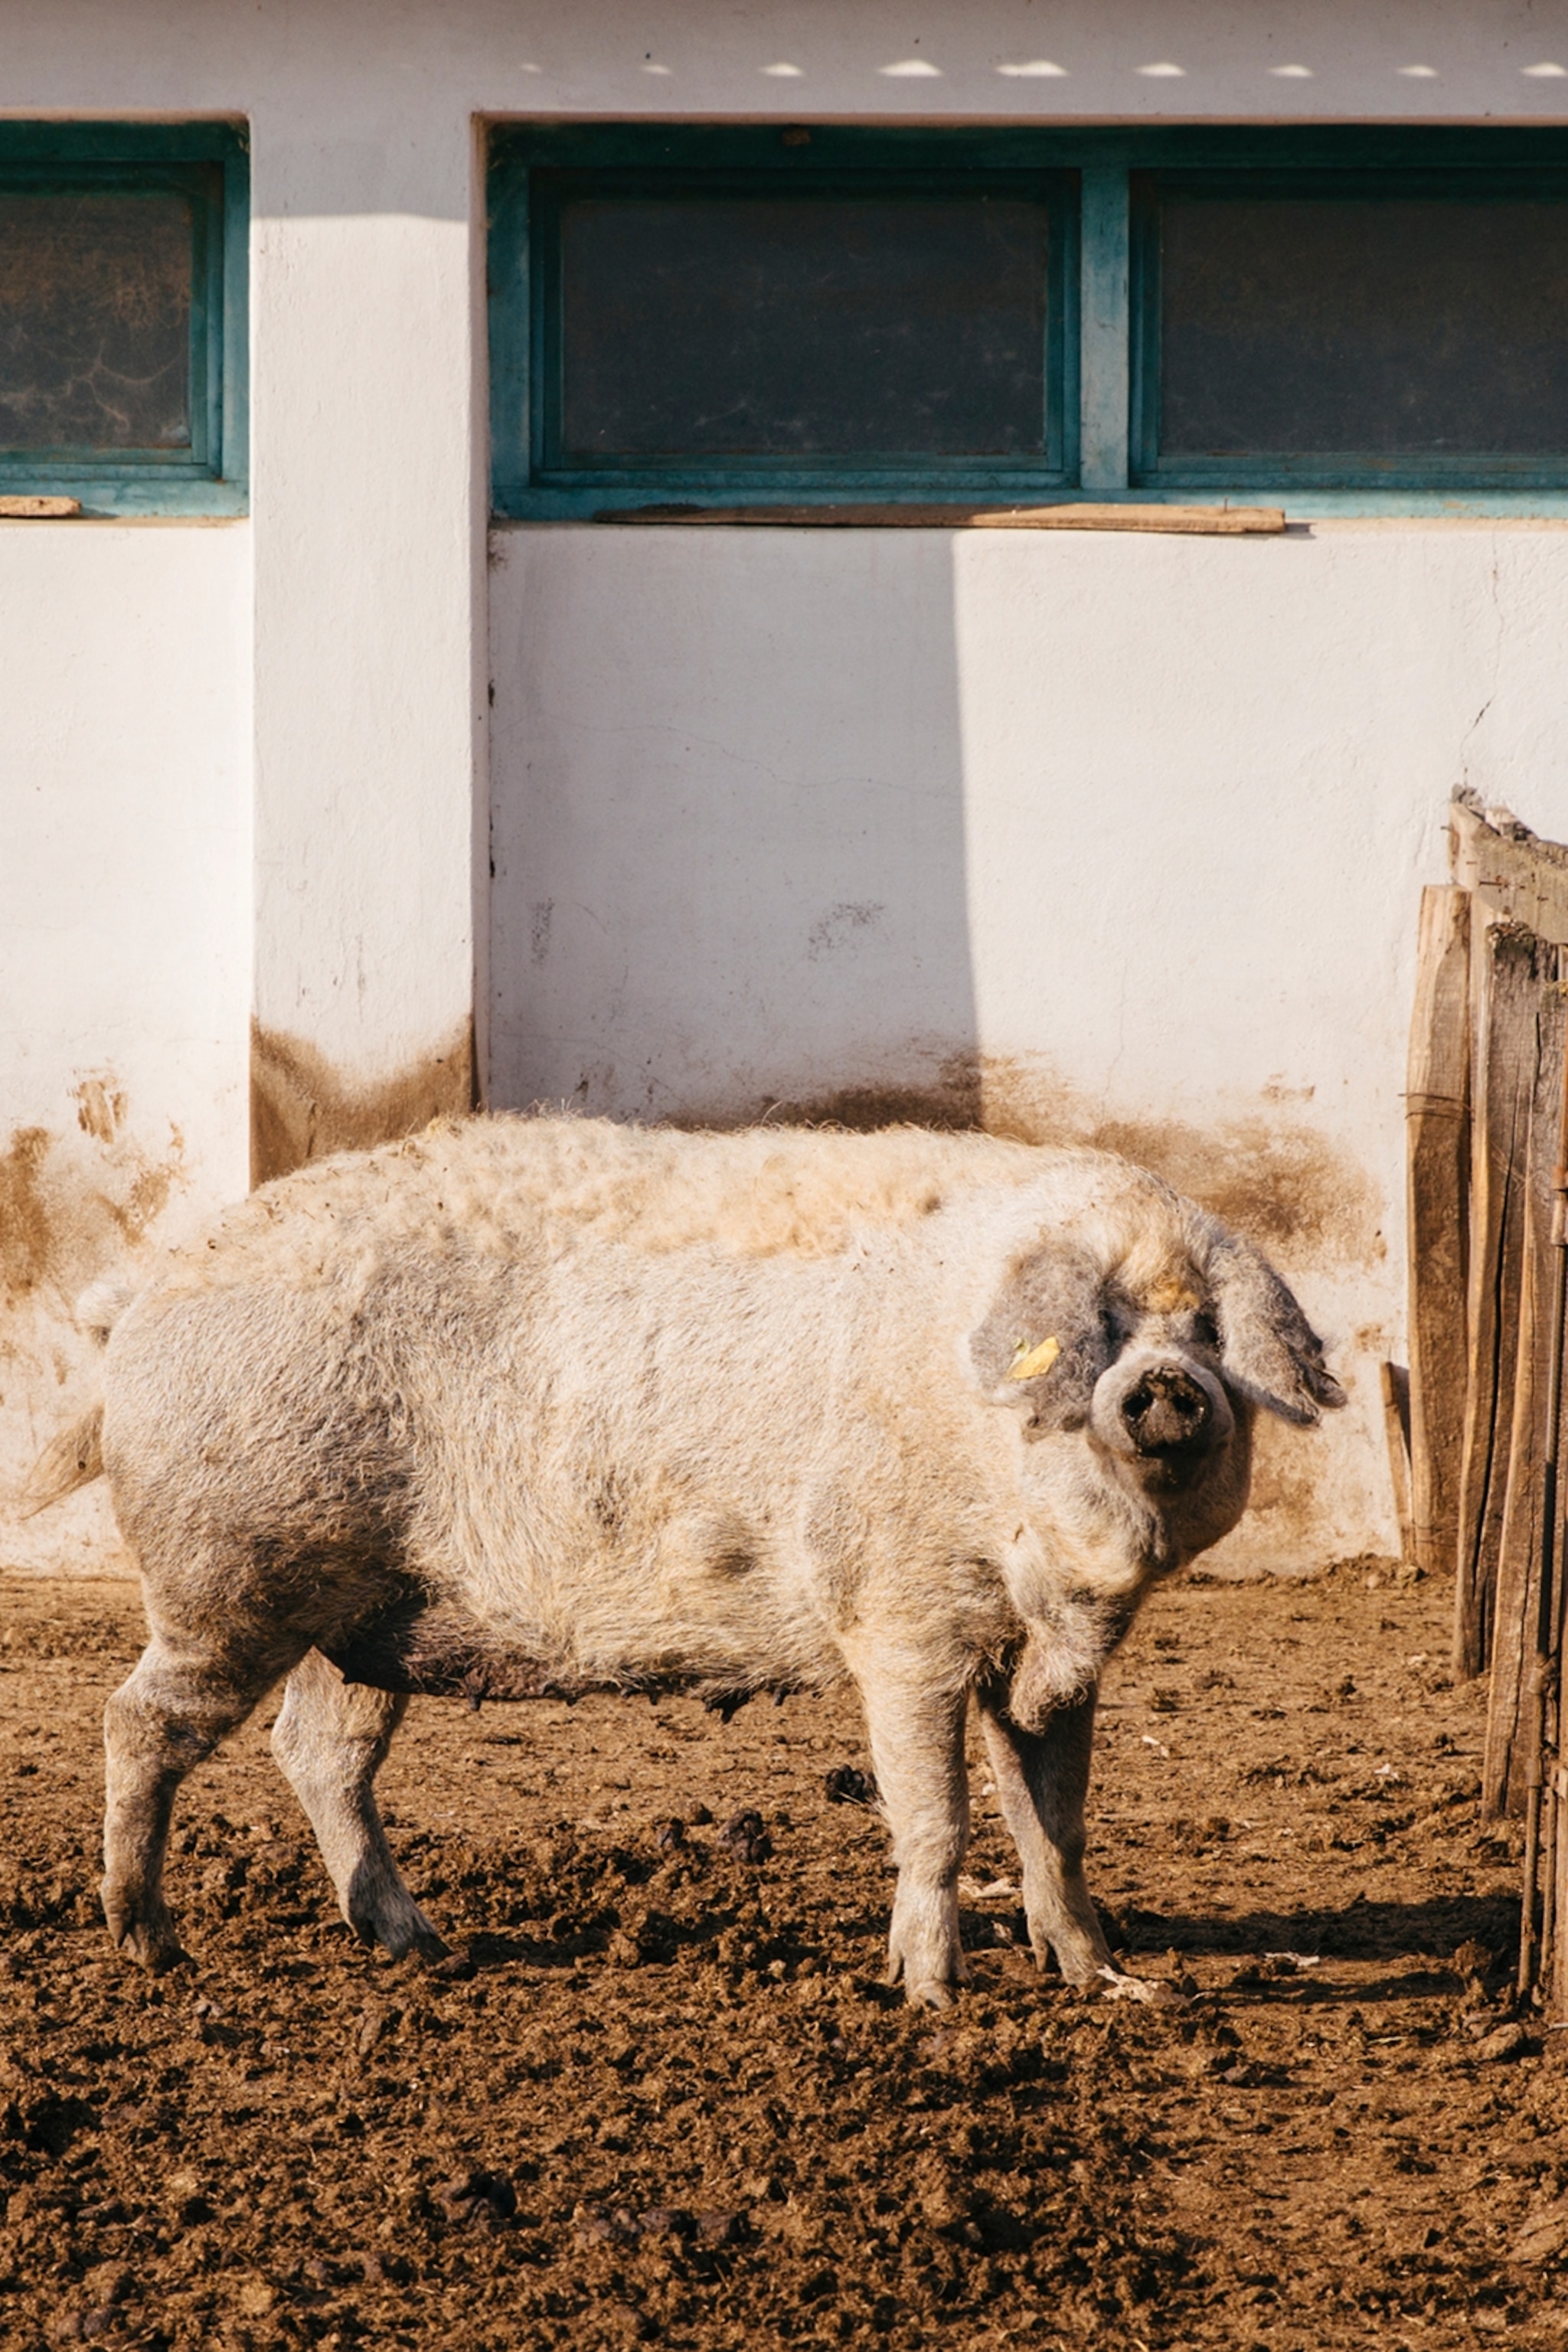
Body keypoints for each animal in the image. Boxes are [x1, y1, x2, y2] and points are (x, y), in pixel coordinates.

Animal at [26, 1115, 1343, 2008]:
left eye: (1206, 1326)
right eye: (1105, 1329)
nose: (1164, 1386)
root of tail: (141, 1306)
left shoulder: (1049, 1658)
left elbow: (1054, 1819)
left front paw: (1102, 1978)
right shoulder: (900, 1618)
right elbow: (937, 1815)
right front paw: (929, 1997)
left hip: (361, 1615)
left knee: (317, 1753)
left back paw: (418, 1944)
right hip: (232, 1573)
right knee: (140, 1722)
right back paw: (150, 1943)